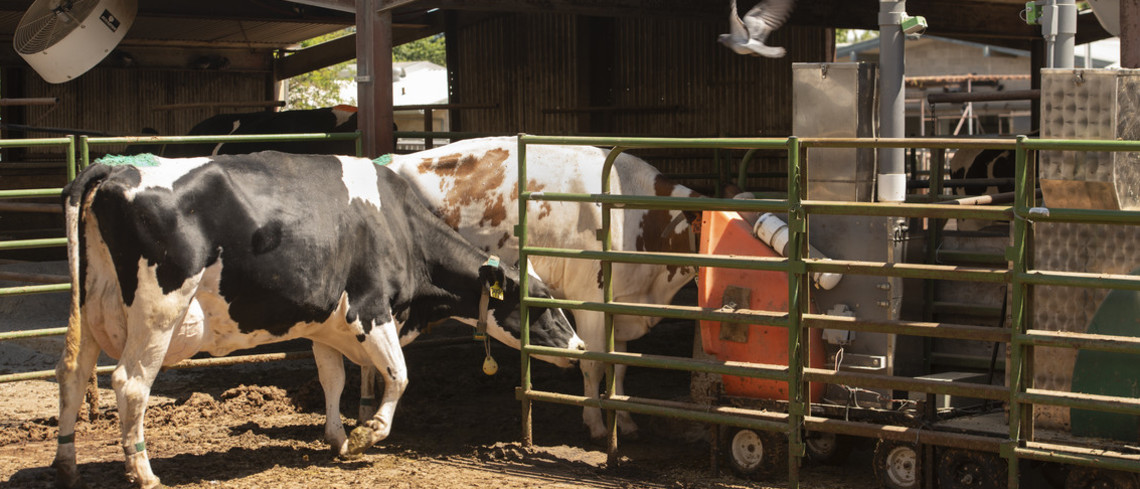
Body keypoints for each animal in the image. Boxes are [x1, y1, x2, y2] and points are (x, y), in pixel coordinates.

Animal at [51, 151, 588, 487]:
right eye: (539, 303)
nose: (581, 349)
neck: (399, 226)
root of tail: (113, 168)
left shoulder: (326, 324)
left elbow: (334, 380)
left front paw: (337, 438)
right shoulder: (371, 308)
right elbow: (398, 376)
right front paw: (367, 434)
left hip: (89, 308)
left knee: (74, 374)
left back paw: (66, 462)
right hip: (158, 310)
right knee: (130, 383)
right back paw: (143, 472)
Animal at [387, 136, 697, 437]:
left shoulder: (620, 306)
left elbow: (618, 367)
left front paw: (625, 420)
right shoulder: (591, 303)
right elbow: (592, 364)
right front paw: (596, 424)